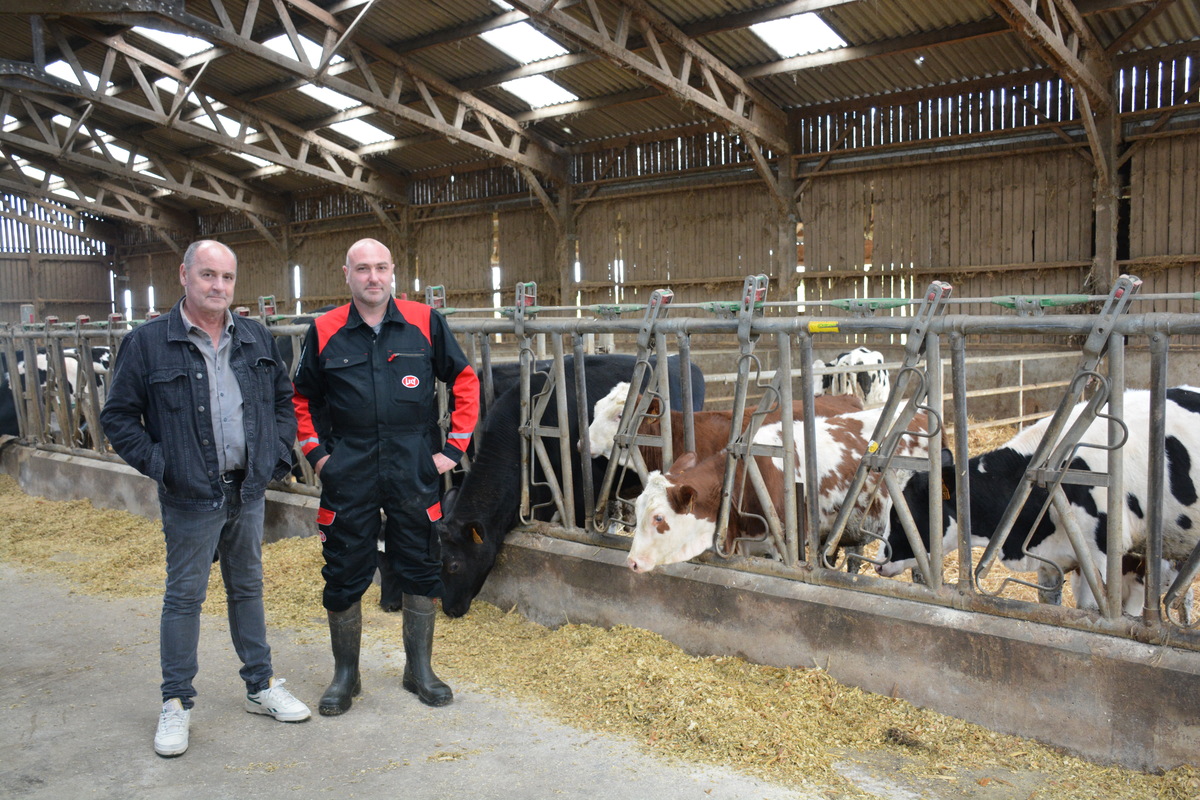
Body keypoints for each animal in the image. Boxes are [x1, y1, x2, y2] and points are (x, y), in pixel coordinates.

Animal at [878, 383, 1200, 618]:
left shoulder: (1104, 555)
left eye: (901, 517)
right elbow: (1049, 601)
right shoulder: (1050, 559)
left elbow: (1095, 610)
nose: (879, 562)